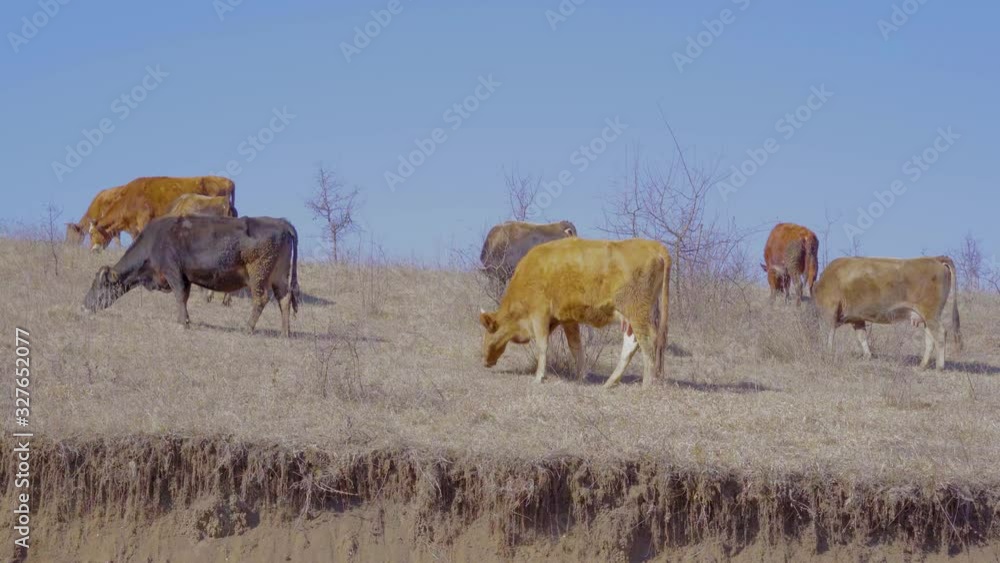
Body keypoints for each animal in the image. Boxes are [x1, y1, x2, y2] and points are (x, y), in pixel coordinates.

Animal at [84, 215, 299, 337]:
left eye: (98, 285)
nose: (84, 304)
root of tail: (281, 222)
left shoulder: (173, 272)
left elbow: (180, 296)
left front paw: (182, 323)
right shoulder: (185, 277)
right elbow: (184, 297)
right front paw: (186, 320)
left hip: (258, 274)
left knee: (261, 299)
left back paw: (248, 328)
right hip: (279, 277)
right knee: (285, 299)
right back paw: (285, 332)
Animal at [479, 237, 670, 388]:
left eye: (488, 331)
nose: (484, 359)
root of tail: (652, 245)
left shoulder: (539, 314)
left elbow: (542, 345)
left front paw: (539, 377)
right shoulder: (568, 320)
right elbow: (576, 347)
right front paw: (581, 377)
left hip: (637, 313)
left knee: (648, 341)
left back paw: (646, 384)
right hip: (629, 319)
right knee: (631, 343)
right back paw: (610, 383)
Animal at [813, 256, 962, 370]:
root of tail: (935, 258)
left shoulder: (829, 311)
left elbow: (829, 334)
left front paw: (827, 353)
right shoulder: (857, 318)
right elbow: (862, 337)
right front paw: (867, 356)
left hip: (931, 314)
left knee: (940, 334)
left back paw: (939, 366)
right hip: (926, 317)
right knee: (930, 338)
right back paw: (922, 365)